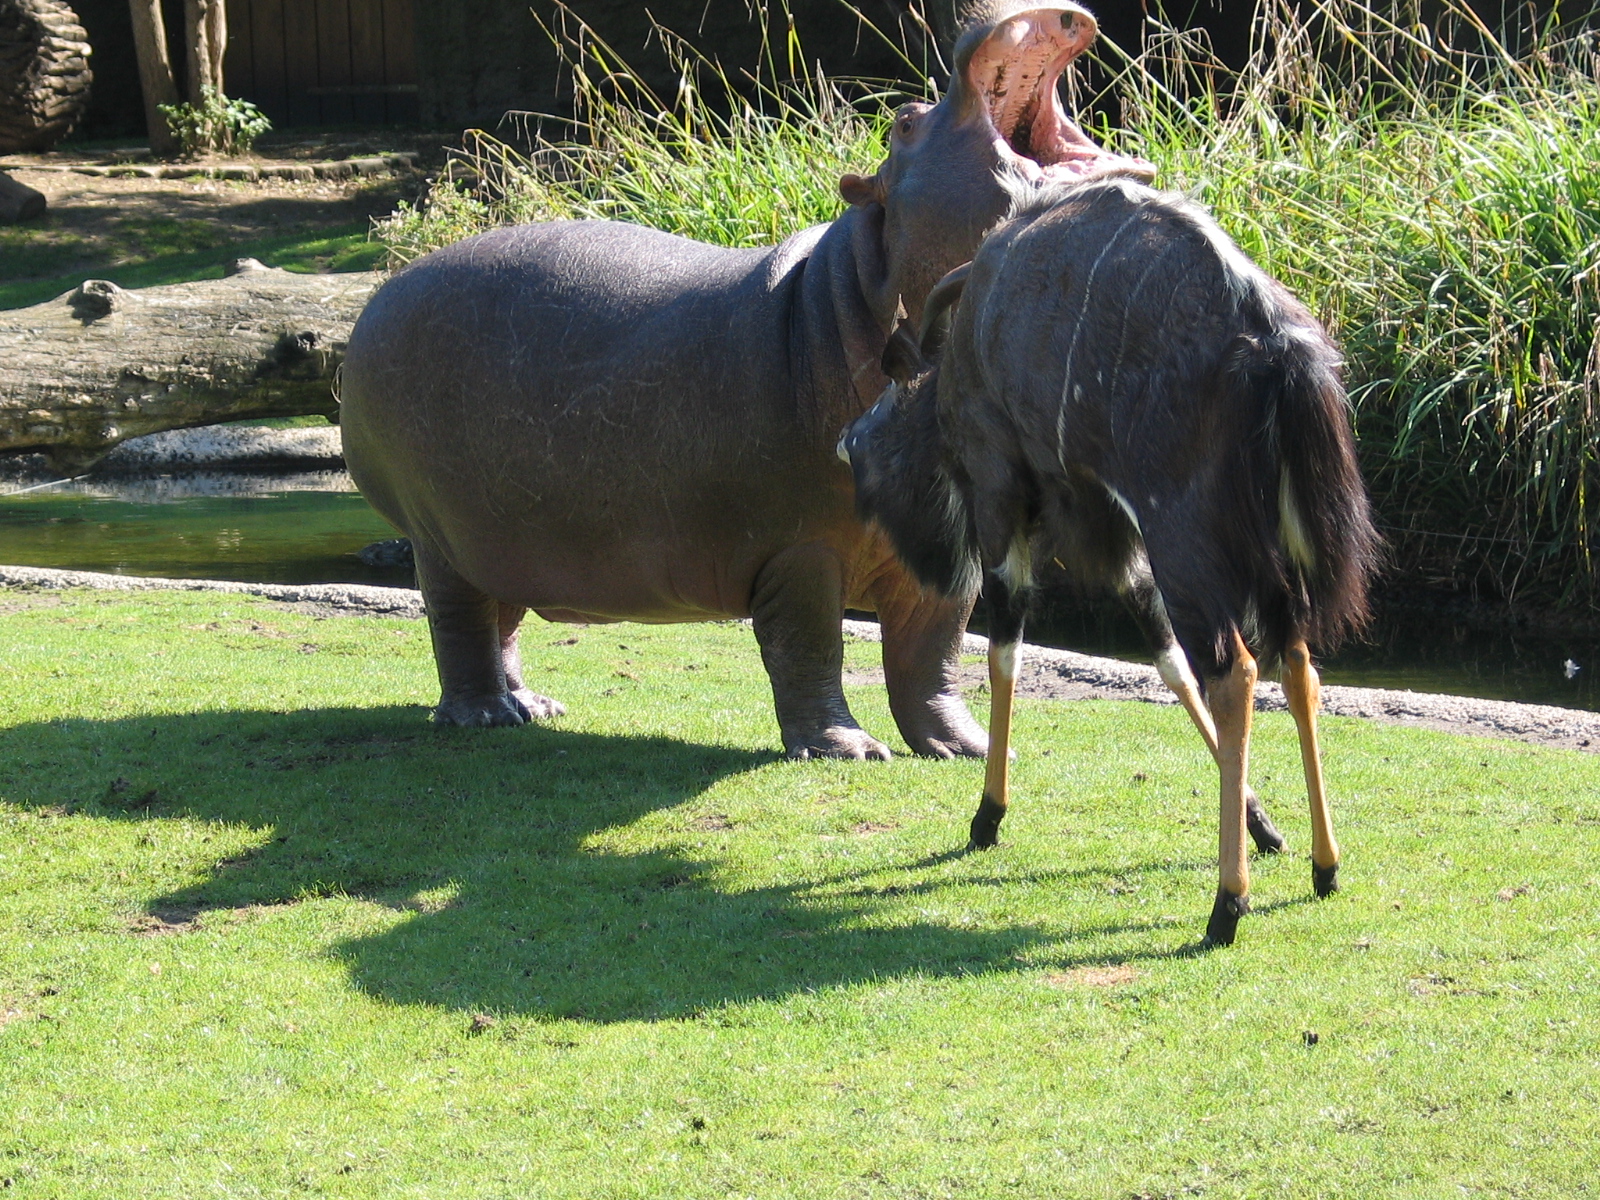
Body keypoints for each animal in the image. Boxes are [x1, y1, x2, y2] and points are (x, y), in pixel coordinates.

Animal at [339, 2, 1153, 759]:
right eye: (903, 121)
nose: (995, 14)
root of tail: (379, 296)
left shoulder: (948, 555)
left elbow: (932, 657)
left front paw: (968, 747)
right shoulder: (796, 550)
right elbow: (810, 645)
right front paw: (846, 749)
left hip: (502, 531)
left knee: (502, 618)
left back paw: (530, 708)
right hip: (437, 532)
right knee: (459, 622)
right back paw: (480, 714)